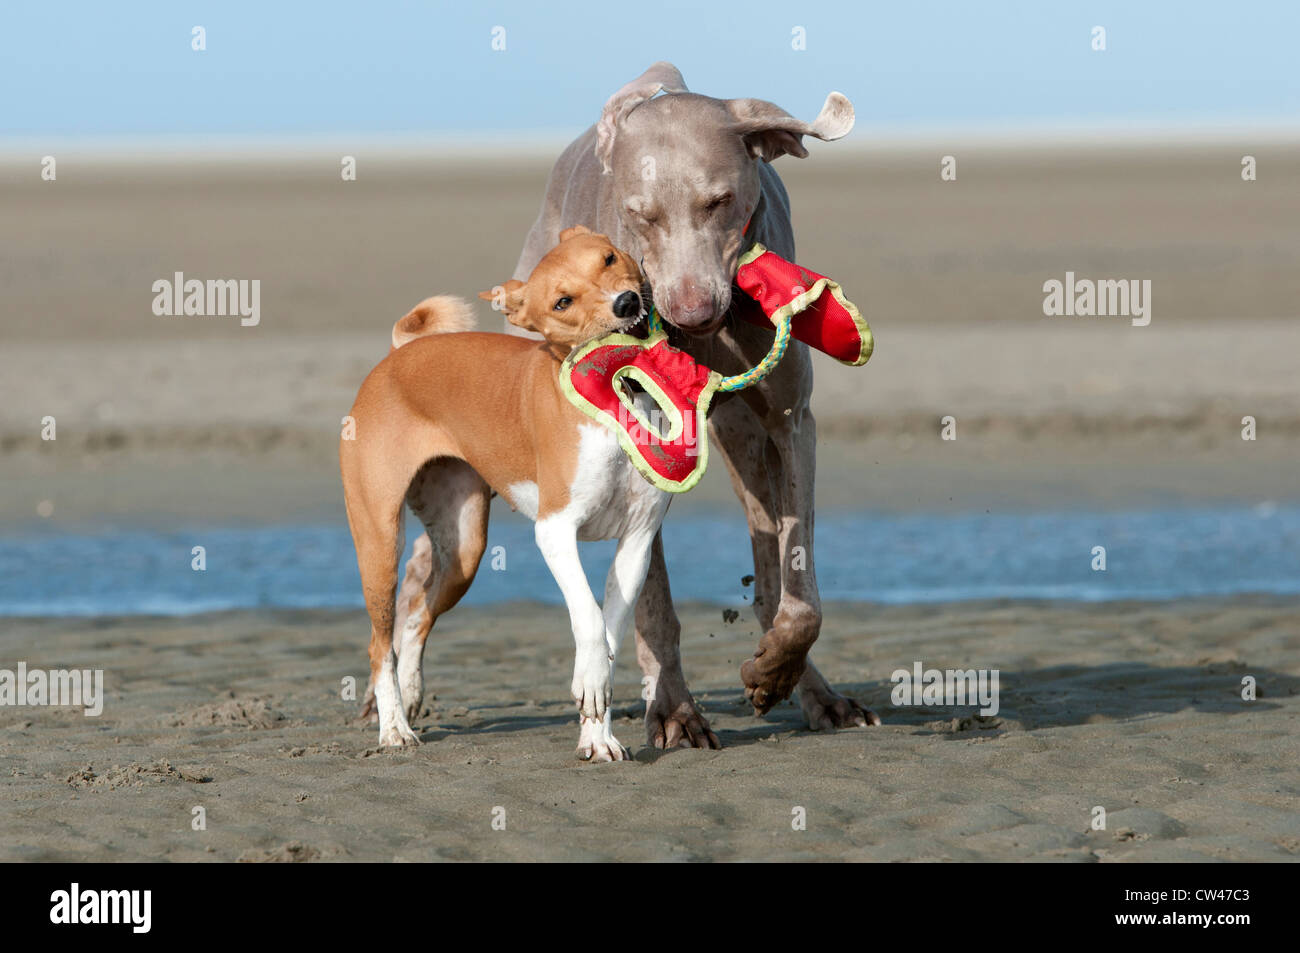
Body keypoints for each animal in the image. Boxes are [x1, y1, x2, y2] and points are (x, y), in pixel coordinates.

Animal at [340, 224, 660, 759]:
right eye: (562, 302)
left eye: (609, 259)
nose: (626, 302)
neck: (613, 399)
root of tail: (394, 356)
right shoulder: (555, 530)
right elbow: (588, 618)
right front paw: (591, 693)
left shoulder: (637, 539)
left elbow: (609, 639)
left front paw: (598, 734)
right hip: (380, 544)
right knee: (379, 645)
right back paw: (394, 729)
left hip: (464, 550)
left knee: (416, 617)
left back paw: (411, 695)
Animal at [392, 59, 873, 748]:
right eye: (638, 216)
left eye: (719, 201)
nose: (690, 314)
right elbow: (653, 604)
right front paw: (674, 711)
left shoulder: (791, 422)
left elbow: (799, 581)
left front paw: (775, 671)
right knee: (422, 567)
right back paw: (400, 694)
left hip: (741, 438)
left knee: (767, 565)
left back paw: (810, 689)